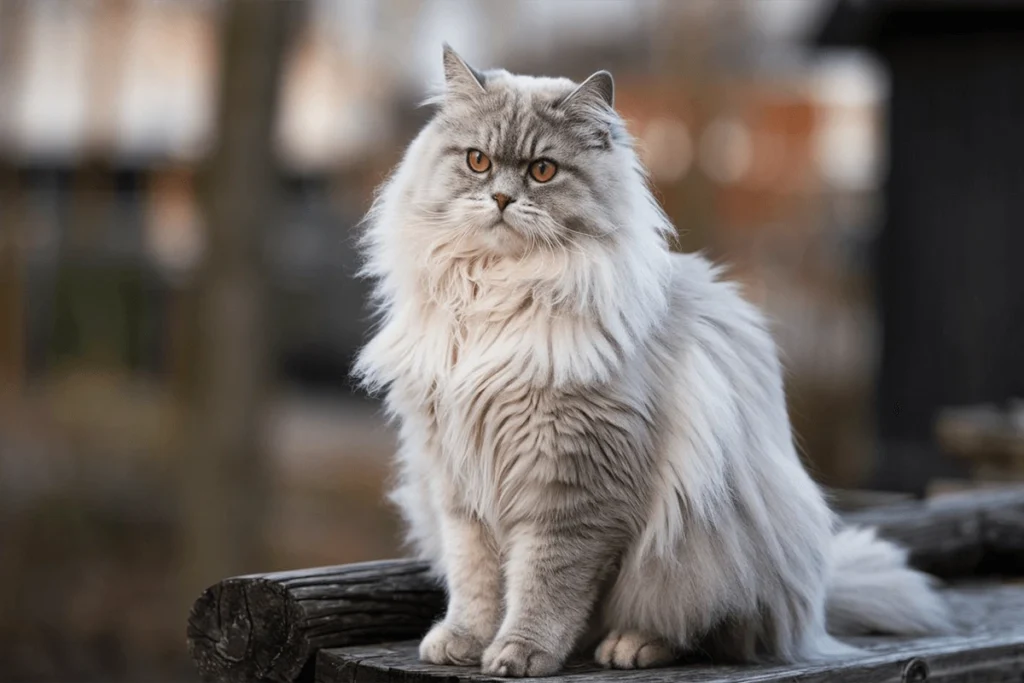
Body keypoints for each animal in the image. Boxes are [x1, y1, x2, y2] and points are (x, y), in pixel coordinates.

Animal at [354, 44, 950, 679]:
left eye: (542, 171)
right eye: (477, 161)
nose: (501, 199)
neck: (497, 296)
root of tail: (815, 609)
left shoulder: (573, 489)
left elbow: (544, 584)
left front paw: (520, 652)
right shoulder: (459, 485)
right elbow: (476, 583)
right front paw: (465, 640)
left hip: (703, 551)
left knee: (711, 629)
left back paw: (631, 646)